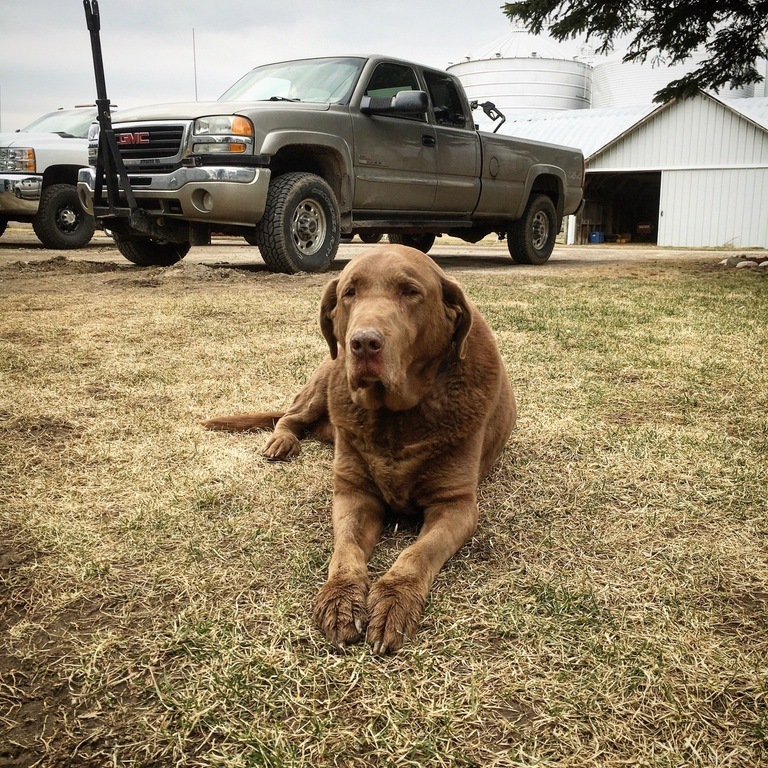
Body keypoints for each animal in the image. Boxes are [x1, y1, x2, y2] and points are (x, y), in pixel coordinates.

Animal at [204, 243, 516, 652]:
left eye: (410, 292)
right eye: (349, 292)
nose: (364, 342)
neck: (394, 419)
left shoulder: (456, 505)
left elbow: (418, 552)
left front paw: (395, 601)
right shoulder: (353, 491)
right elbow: (347, 548)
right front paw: (341, 598)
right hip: (325, 375)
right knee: (290, 415)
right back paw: (281, 441)